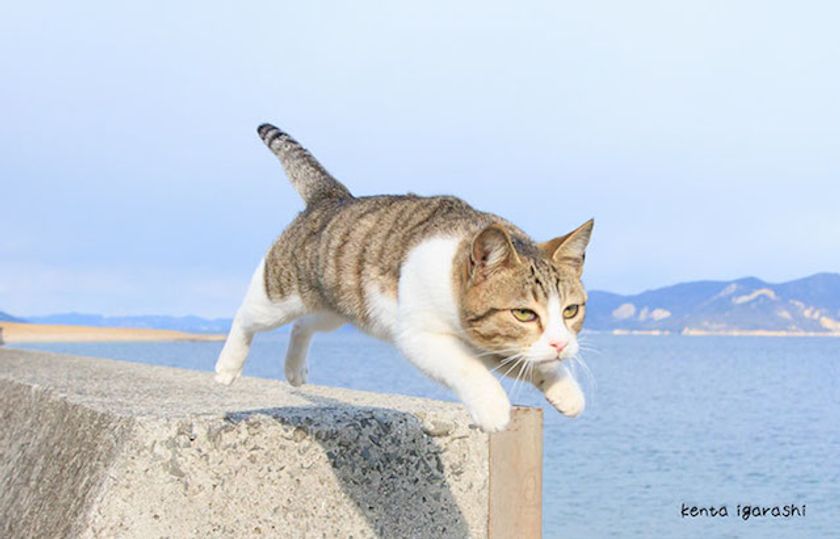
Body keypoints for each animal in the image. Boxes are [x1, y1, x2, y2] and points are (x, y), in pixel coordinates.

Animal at [217, 124, 596, 432]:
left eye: (571, 311)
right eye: (524, 313)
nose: (561, 344)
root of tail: (331, 197)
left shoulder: (499, 344)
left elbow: (530, 360)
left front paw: (564, 389)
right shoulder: (420, 335)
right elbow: (469, 368)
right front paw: (494, 407)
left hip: (337, 306)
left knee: (304, 325)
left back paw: (294, 369)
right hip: (280, 294)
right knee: (248, 315)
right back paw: (227, 366)